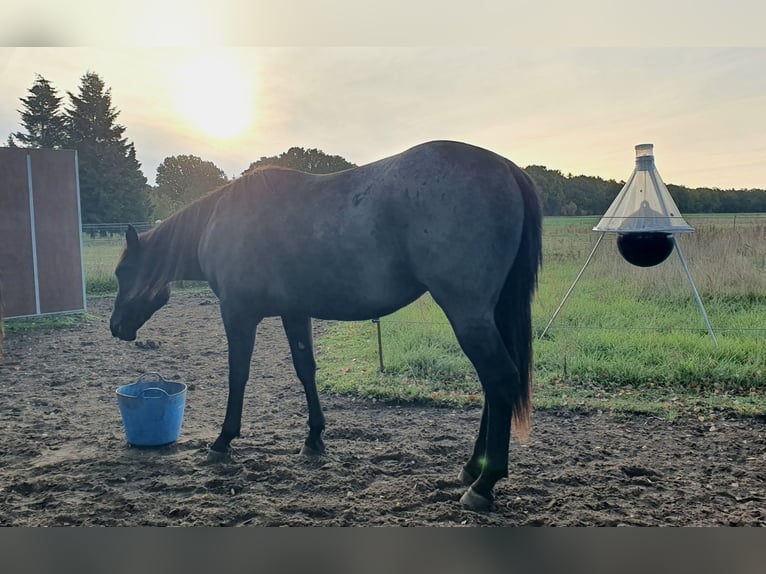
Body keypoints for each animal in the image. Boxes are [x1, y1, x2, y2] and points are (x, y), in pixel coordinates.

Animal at [110, 140, 542, 510]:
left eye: (122, 272)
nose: (116, 327)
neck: (221, 221)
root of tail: (506, 168)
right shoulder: (294, 312)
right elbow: (306, 370)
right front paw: (314, 438)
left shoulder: (238, 314)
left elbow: (238, 375)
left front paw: (223, 440)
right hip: (486, 315)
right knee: (493, 387)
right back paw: (472, 469)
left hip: (467, 314)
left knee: (500, 379)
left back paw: (484, 484)